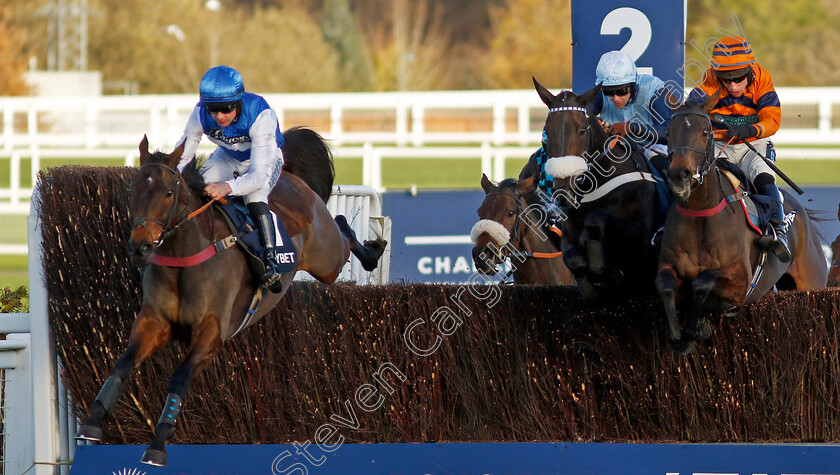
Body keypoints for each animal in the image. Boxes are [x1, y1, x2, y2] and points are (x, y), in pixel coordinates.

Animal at [73, 130, 388, 468]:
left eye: (169, 192)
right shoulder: (154, 321)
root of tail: (290, 176)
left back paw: (374, 250)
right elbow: (122, 365)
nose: (139, 248)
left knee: (342, 226)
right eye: (134, 190)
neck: (184, 258)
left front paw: (158, 444)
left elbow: (180, 377)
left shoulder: (212, 333)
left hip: (326, 260)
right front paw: (91, 422)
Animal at [528, 78, 668, 302]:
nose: (564, 192)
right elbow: (574, 260)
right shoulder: (568, 233)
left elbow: (597, 220)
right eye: (546, 133)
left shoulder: (641, 241)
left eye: (582, 130)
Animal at [656, 96, 828, 356]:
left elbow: (702, 283)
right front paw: (679, 335)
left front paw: (696, 328)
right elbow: (665, 286)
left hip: (812, 281)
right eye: (669, 131)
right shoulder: (668, 264)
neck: (700, 214)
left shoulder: (740, 280)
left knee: (765, 178)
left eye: (705, 132)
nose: (679, 175)